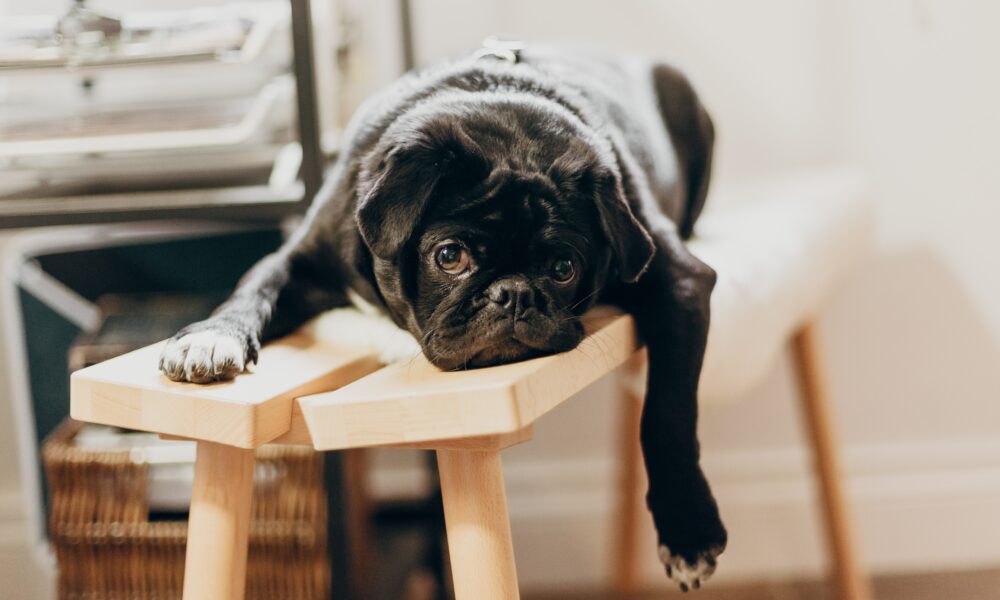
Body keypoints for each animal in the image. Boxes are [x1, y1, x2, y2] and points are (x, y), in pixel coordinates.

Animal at [159, 42, 725, 591]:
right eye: (450, 256)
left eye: (564, 269)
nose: (514, 293)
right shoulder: (295, 261)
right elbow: (252, 291)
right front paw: (211, 338)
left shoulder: (679, 283)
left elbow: (667, 414)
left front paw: (688, 527)